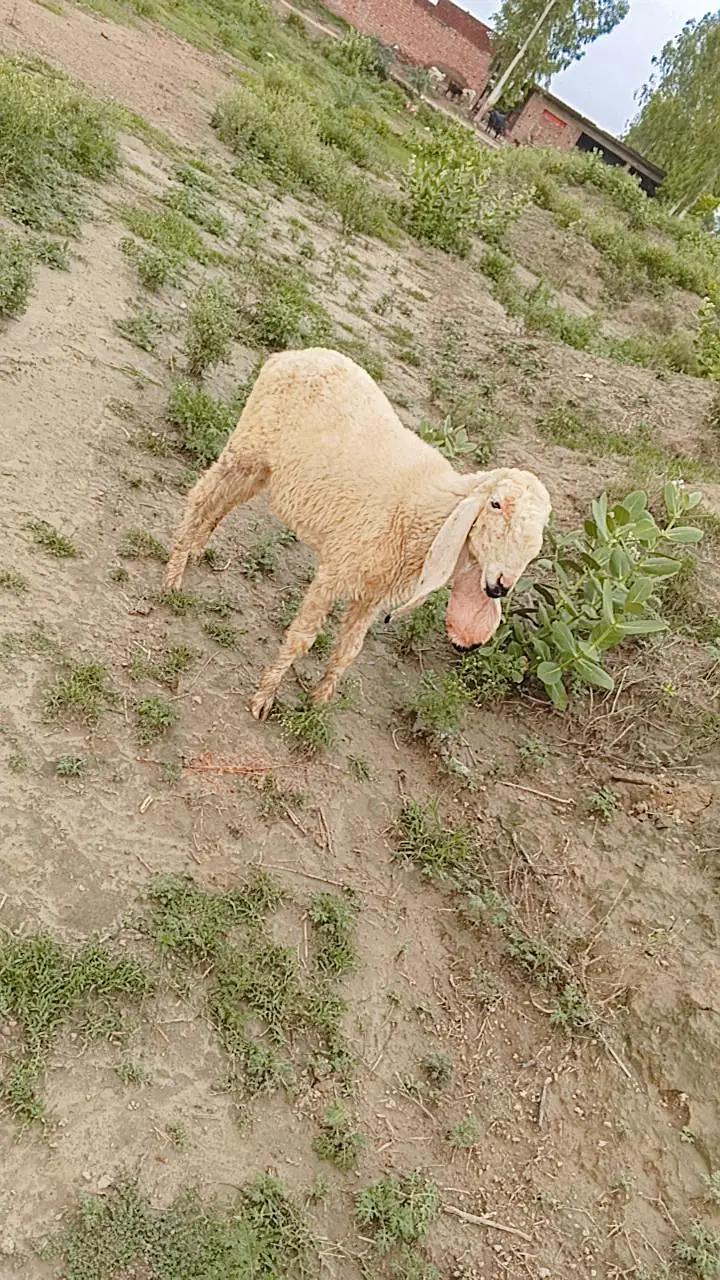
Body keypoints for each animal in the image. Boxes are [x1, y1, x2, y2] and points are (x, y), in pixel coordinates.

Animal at [163, 348, 551, 721]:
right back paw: (173, 575)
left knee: (227, 500)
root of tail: (290, 355)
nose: (500, 585)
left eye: (540, 536)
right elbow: (302, 638)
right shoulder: (336, 570)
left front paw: (319, 702)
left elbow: (349, 651)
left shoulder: (372, 595)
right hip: (248, 444)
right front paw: (264, 697)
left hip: (265, 467)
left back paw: (195, 548)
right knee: (202, 494)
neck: (420, 512)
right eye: (496, 504)